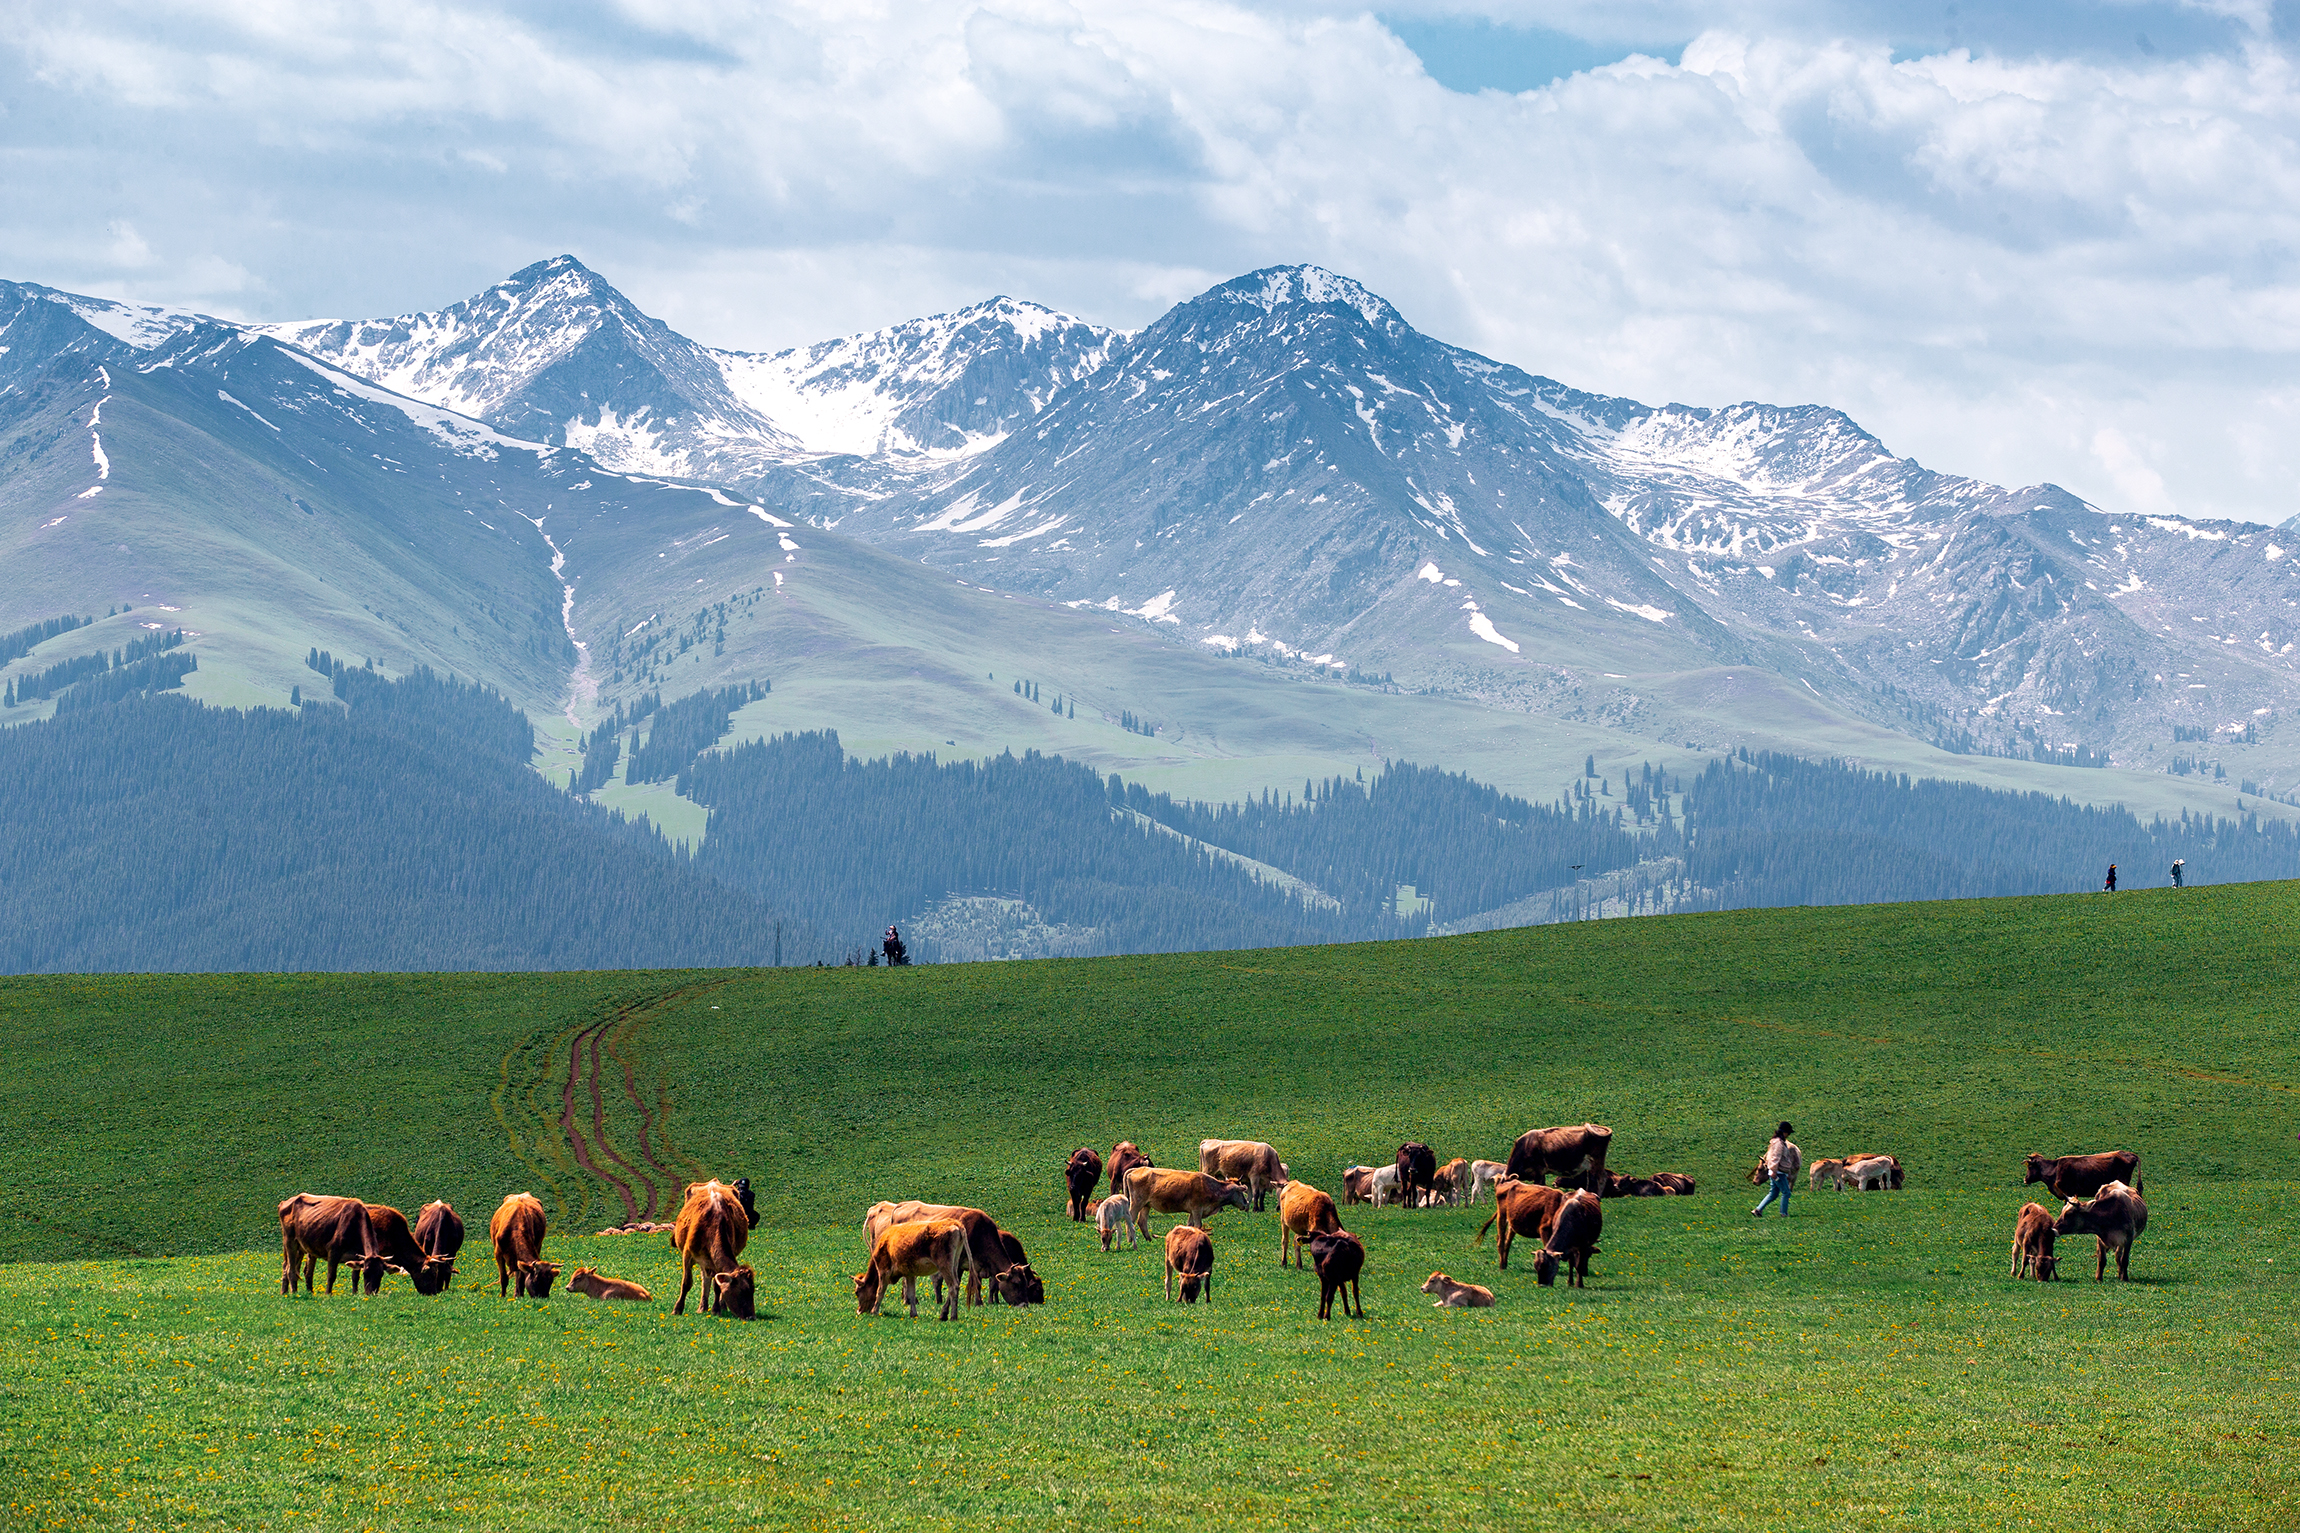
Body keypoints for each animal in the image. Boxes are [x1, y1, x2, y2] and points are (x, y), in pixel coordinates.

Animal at [671, 1180, 749, 1316]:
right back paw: (702, 1307)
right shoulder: (687, 1254)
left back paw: (717, 1306)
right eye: (740, 1292)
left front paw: (716, 1309)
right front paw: (677, 1309)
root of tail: (713, 1182)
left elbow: (717, 1285)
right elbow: (686, 1283)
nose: (751, 1316)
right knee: (705, 1279)